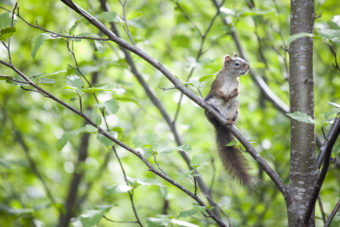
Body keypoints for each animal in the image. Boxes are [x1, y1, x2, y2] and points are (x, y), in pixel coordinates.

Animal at [205, 53, 252, 186]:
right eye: (237, 63)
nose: (248, 67)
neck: (231, 77)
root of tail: (220, 125)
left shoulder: (237, 86)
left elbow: (237, 93)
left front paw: (231, 94)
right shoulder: (216, 84)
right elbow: (217, 92)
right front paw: (225, 96)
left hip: (234, 108)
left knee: (232, 111)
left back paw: (230, 121)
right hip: (209, 105)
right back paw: (212, 112)